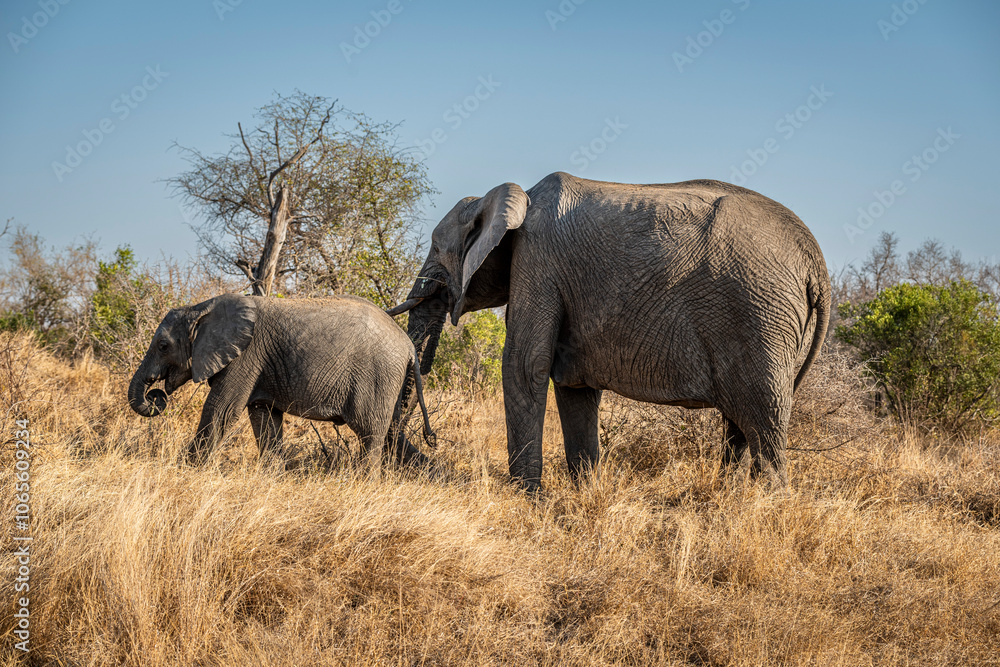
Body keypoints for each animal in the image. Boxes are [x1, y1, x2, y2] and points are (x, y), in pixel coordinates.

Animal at [129, 293, 434, 468]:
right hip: (395, 381)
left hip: (378, 375)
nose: (155, 395)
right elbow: (264, 417)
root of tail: (408, 345)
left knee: (372, 435)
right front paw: (271, 474)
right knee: (393, 433)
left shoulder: (246, 355)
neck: (200, 308)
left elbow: (221, 410)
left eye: (163, 346)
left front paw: (186, 469)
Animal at [388, 172, 830, 492]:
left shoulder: (538, 262)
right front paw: (584, 493)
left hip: (758, 314)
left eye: (435, 248)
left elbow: (524, 366)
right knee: (740, 426)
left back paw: (764, 503)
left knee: (761, 420)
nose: (431, 441)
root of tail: (817, 263)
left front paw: (526, 498)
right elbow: (573, 386)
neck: (511, 198)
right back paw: (728, 497)